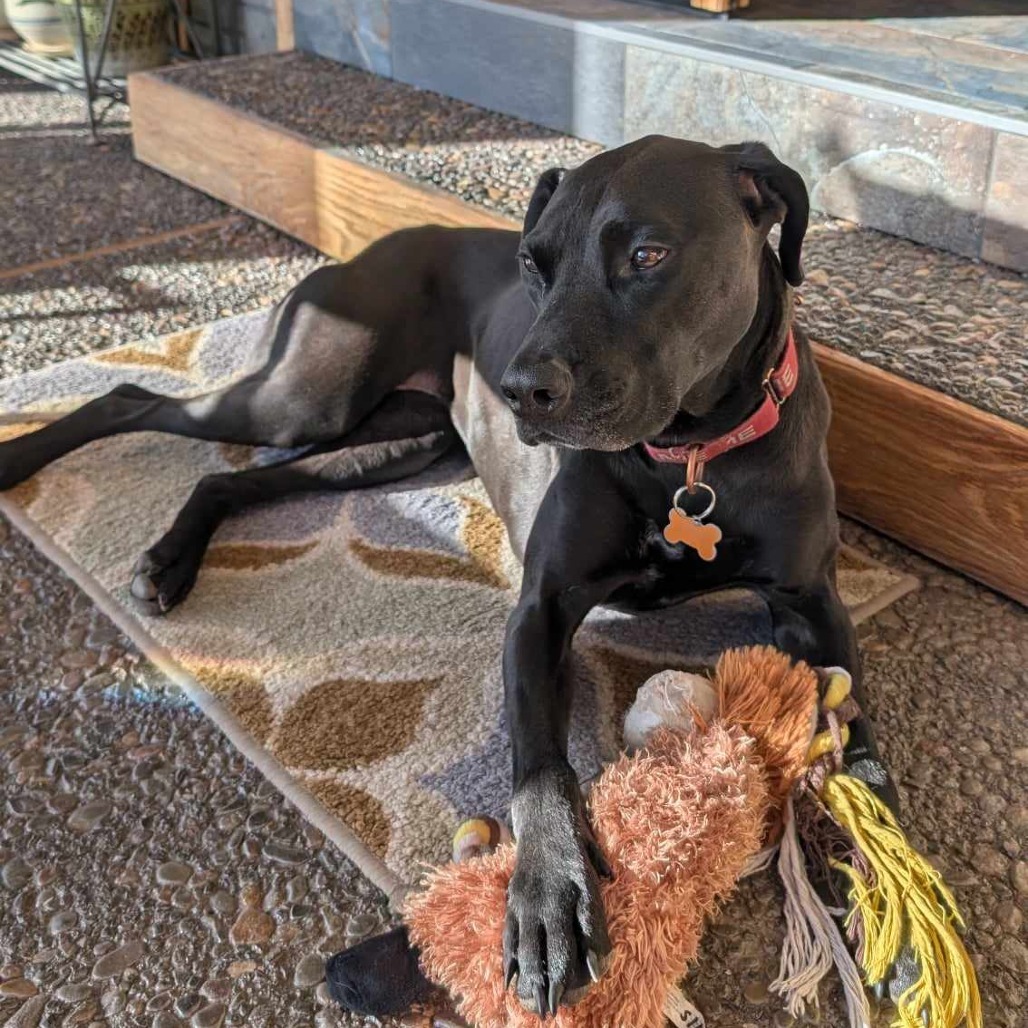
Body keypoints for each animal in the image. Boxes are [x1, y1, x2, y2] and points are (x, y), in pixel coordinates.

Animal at [0, 134, 896, 1011]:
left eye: (648, 254)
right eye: (533, 262)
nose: (521, 390)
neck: (693, 457)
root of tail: (380, 242)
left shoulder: (813, 605)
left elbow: (859, 750)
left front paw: (886, 891)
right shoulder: (540, 610)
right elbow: (539, 765)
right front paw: (546, 900)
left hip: (390, 440)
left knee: (232, 479)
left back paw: (168, 559)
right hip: (307, 397)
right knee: (128, 398)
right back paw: (41, 468)